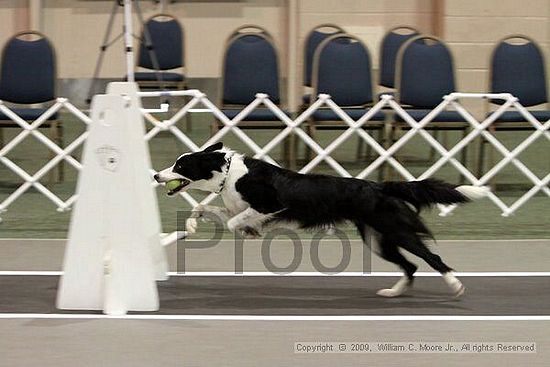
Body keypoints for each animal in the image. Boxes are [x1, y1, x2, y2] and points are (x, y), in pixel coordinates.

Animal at [154, 142, 488, 298]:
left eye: (180, 166)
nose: (156, 175)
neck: (230, 175)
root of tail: (380, 186)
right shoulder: (236, 205)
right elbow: (204, 208)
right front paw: (191, 225)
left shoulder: (272, 204)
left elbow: (234, 223)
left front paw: (250, 232)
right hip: (377, 238)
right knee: (410, 266)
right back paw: (393, 292)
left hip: (396, 231)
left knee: (431, 257)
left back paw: (455, 285)